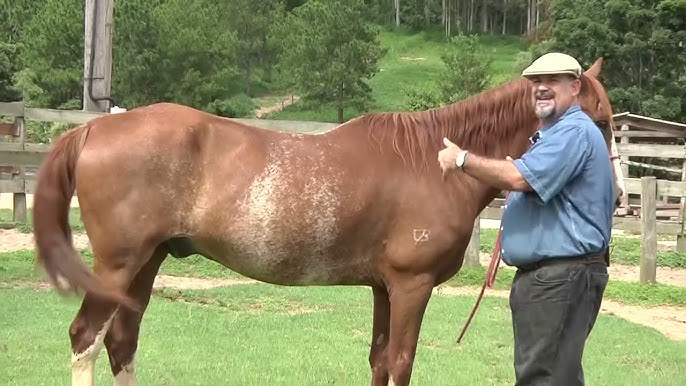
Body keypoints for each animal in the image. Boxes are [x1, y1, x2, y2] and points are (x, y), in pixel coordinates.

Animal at [32, 58, 624, 386]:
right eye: (596, 119)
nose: (617, 199)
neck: (430, 165)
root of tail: (93, 129)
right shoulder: (411, 286)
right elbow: (402, 362)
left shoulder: (385, 288)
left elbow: (380, 361)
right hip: (118, 264)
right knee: (86, 336)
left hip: (147, 263)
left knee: (121, 341)